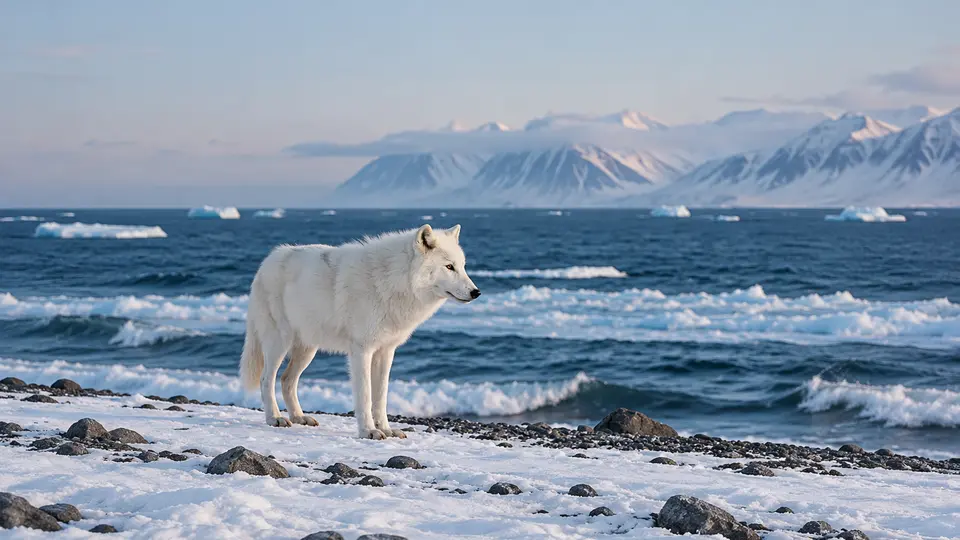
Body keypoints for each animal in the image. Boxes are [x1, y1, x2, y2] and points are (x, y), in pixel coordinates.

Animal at [239, 223, 480, 439]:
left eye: (463, 266)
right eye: (449, 267)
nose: (476, 292)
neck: (393, 281)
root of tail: (267, 261)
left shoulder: (386, 352)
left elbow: (380, 397)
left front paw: (387, 430)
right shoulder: (361, 351)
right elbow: (365, 396)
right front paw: (368, 432)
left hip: (307, 350)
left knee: (287, 380)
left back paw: (299, 417)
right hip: (279, 344)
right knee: (266, 379)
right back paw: (275, 418)